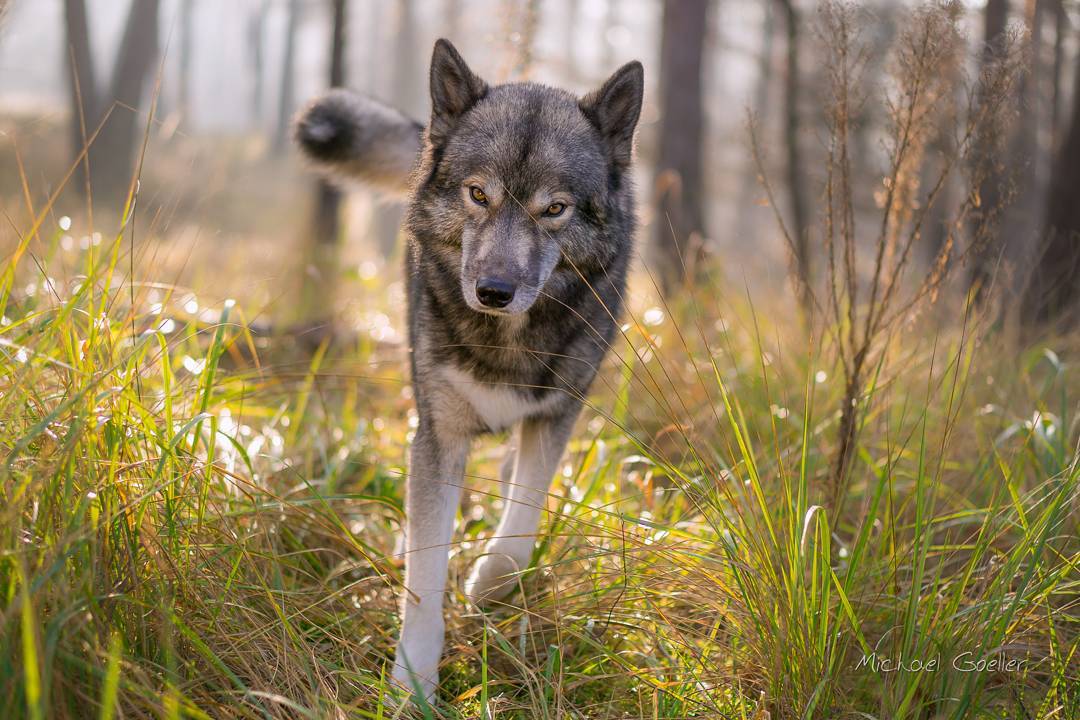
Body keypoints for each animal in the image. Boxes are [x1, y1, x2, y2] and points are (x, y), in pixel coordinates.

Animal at [295, 38, 639, 699]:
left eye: (554, 209)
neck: (507, 338)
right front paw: (412, 684)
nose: (494, 291)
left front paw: (488, 586)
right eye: (479, 194)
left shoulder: (556, 417)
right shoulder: (439, 436)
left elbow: (522, 522)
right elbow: (426, 572)